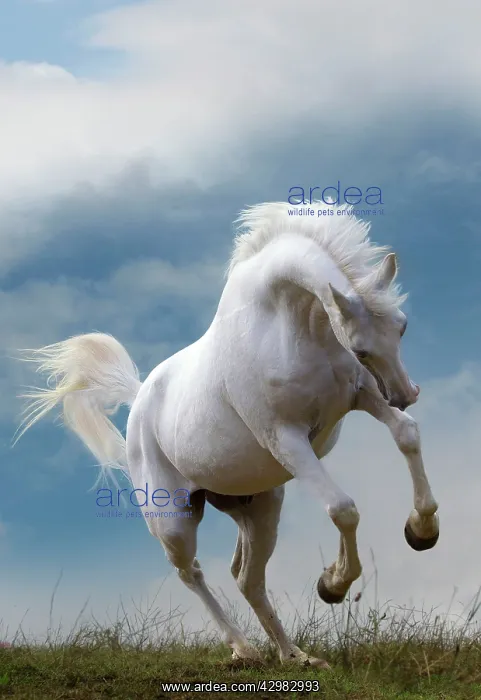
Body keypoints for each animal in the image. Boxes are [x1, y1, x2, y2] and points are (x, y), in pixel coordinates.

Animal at [16, 201, 439, 668]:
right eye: (361, 348)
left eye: (402, 326)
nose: (406, 393)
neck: (287, 322)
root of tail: (139, 397)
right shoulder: (287, 439)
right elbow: (343, 509)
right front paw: (334, 584)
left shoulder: (363, 395)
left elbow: (406, 434)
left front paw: (422, 531)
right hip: (173, 522)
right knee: (192, 573)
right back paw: (244, 648)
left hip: (259, 508)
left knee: (247, 579)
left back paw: (296, 656)